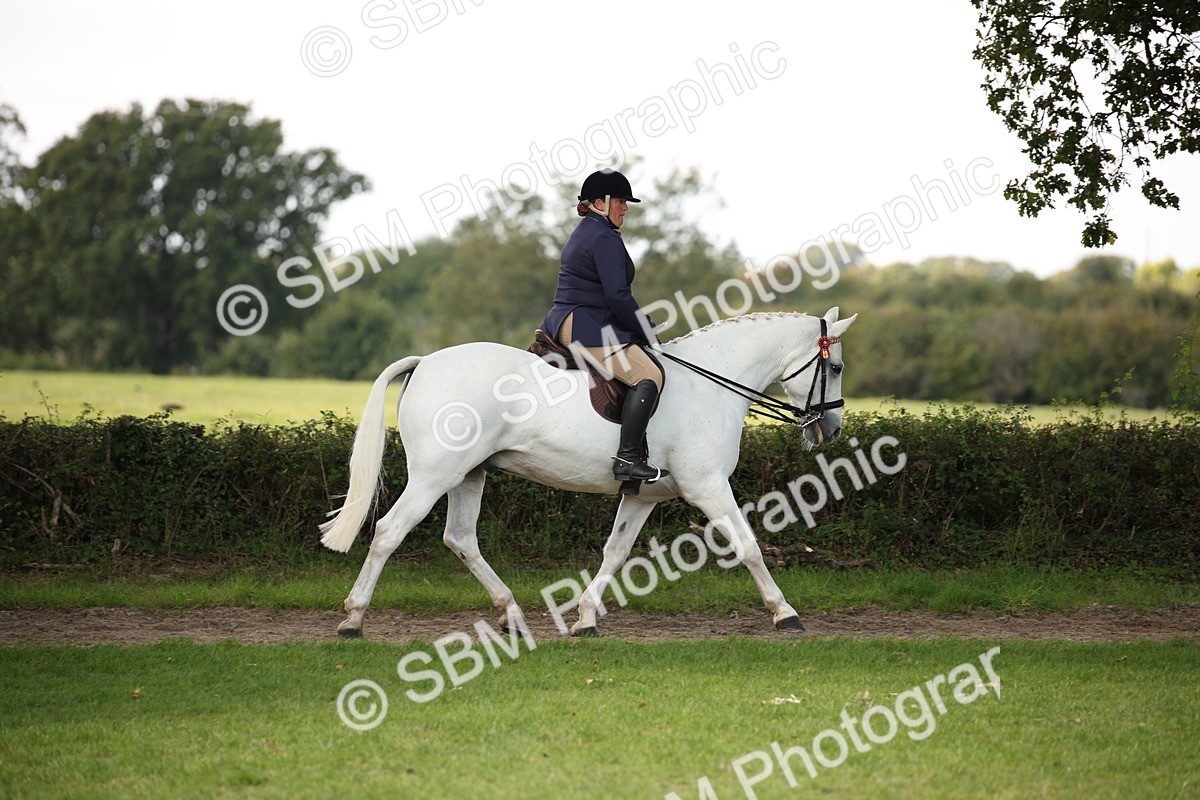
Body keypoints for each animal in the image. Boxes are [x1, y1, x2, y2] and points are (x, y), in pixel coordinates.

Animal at [320, 307, 857, 638]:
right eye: (835, 369)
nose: (830, 429)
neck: (711, 383)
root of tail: (426, 362)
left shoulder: (642, 495)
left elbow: (615, 553)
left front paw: (584, 619)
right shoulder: (708, 487)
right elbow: (748, 546)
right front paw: (785, 613)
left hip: (469, 475)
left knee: (461, 539)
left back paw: (511, 613)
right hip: (435, 475)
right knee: (390, 531)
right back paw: (353, 620)